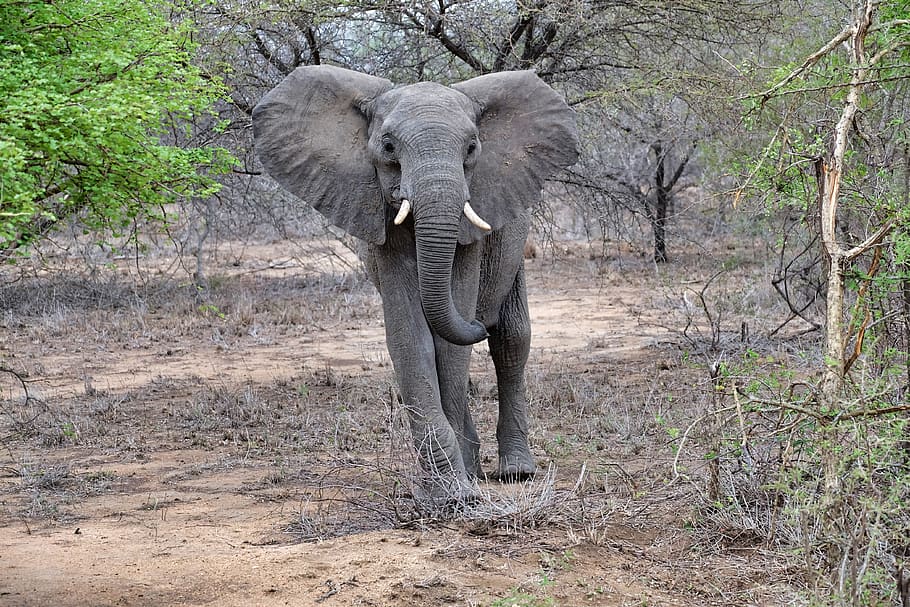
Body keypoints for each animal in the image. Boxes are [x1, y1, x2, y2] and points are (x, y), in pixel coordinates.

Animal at [252, 65, 578, 500]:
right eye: (388, 147)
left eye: (472, 148)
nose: (477, 323)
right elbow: (410, 335)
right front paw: (449, 491)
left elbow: (449, 341)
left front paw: (459, 489)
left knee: (511, 339)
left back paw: (517, 471)